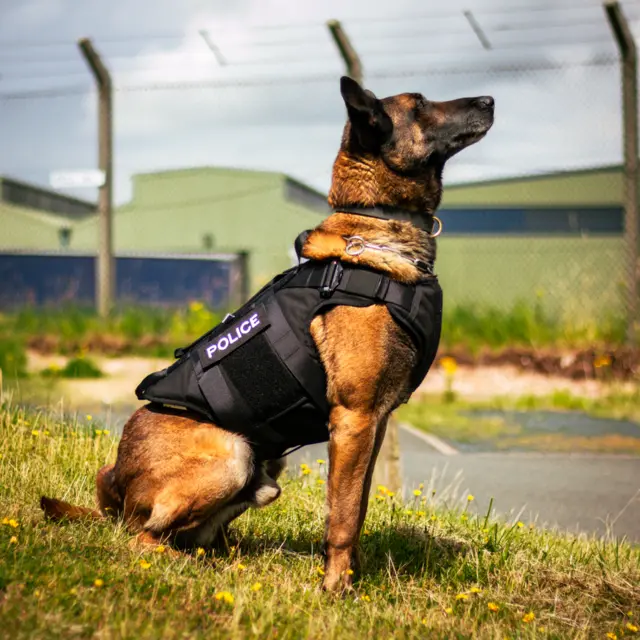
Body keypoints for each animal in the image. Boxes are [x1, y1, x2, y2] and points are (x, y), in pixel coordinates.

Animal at [40, 77, 496, 592]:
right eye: (419, 106)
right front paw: (335, 590)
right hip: (232, 454)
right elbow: (341, 518)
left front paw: (351, 576)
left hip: (264, 467)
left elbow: (356, 507)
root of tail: (114, 491)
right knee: (145, 538)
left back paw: (228, 557)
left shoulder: (372, 425)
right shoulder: (354, 417)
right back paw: (195, 564)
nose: (489, 101)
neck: (376, 224)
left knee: (193, 535)